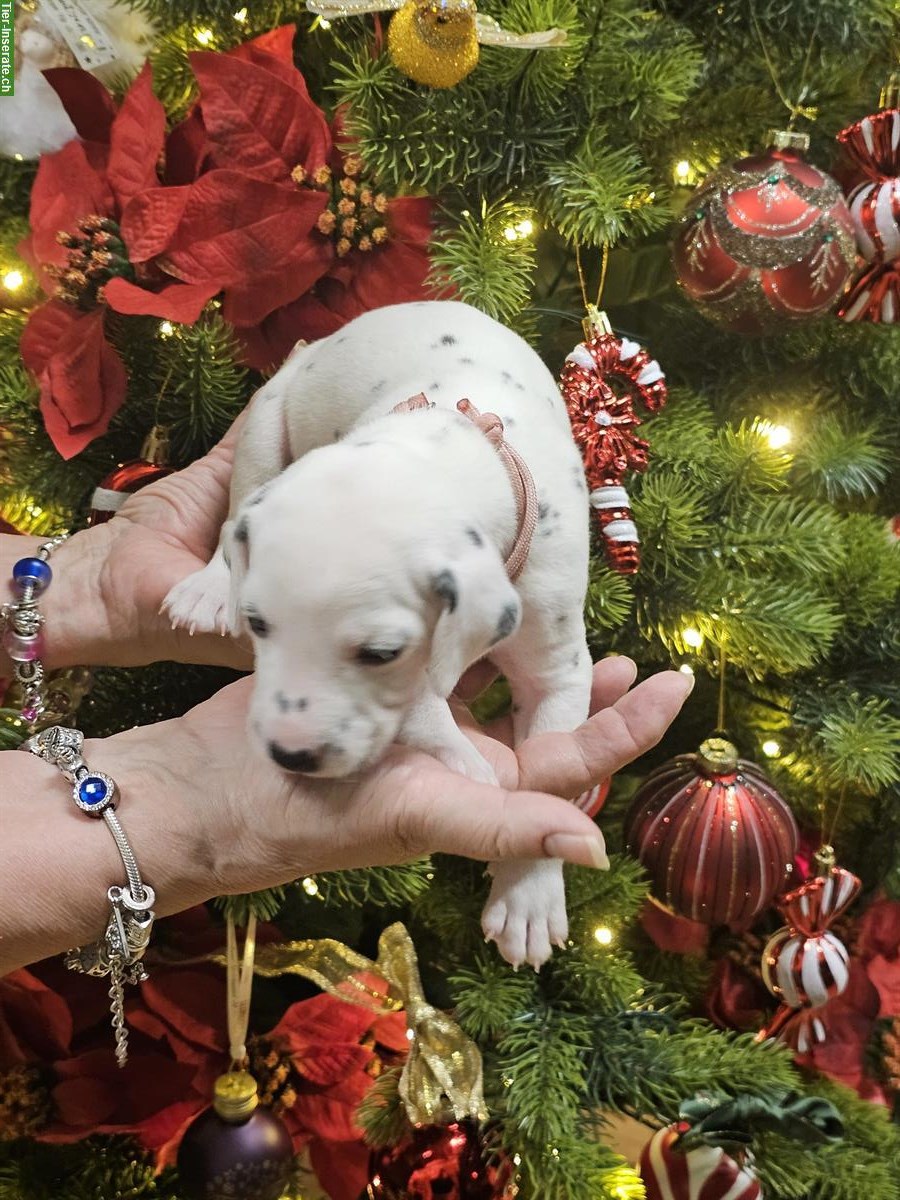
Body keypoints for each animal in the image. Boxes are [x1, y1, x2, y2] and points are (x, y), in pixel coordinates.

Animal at [164, 297, 600, 964]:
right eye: (260, 625)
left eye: (380, 652)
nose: (290, 752)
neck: (455, 454)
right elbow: (427, 716)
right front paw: (469, 770)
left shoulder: (558, 667)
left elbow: (553, 768)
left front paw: (529, 893)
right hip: (265, 425)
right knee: (235, 514)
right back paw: (210, 587)